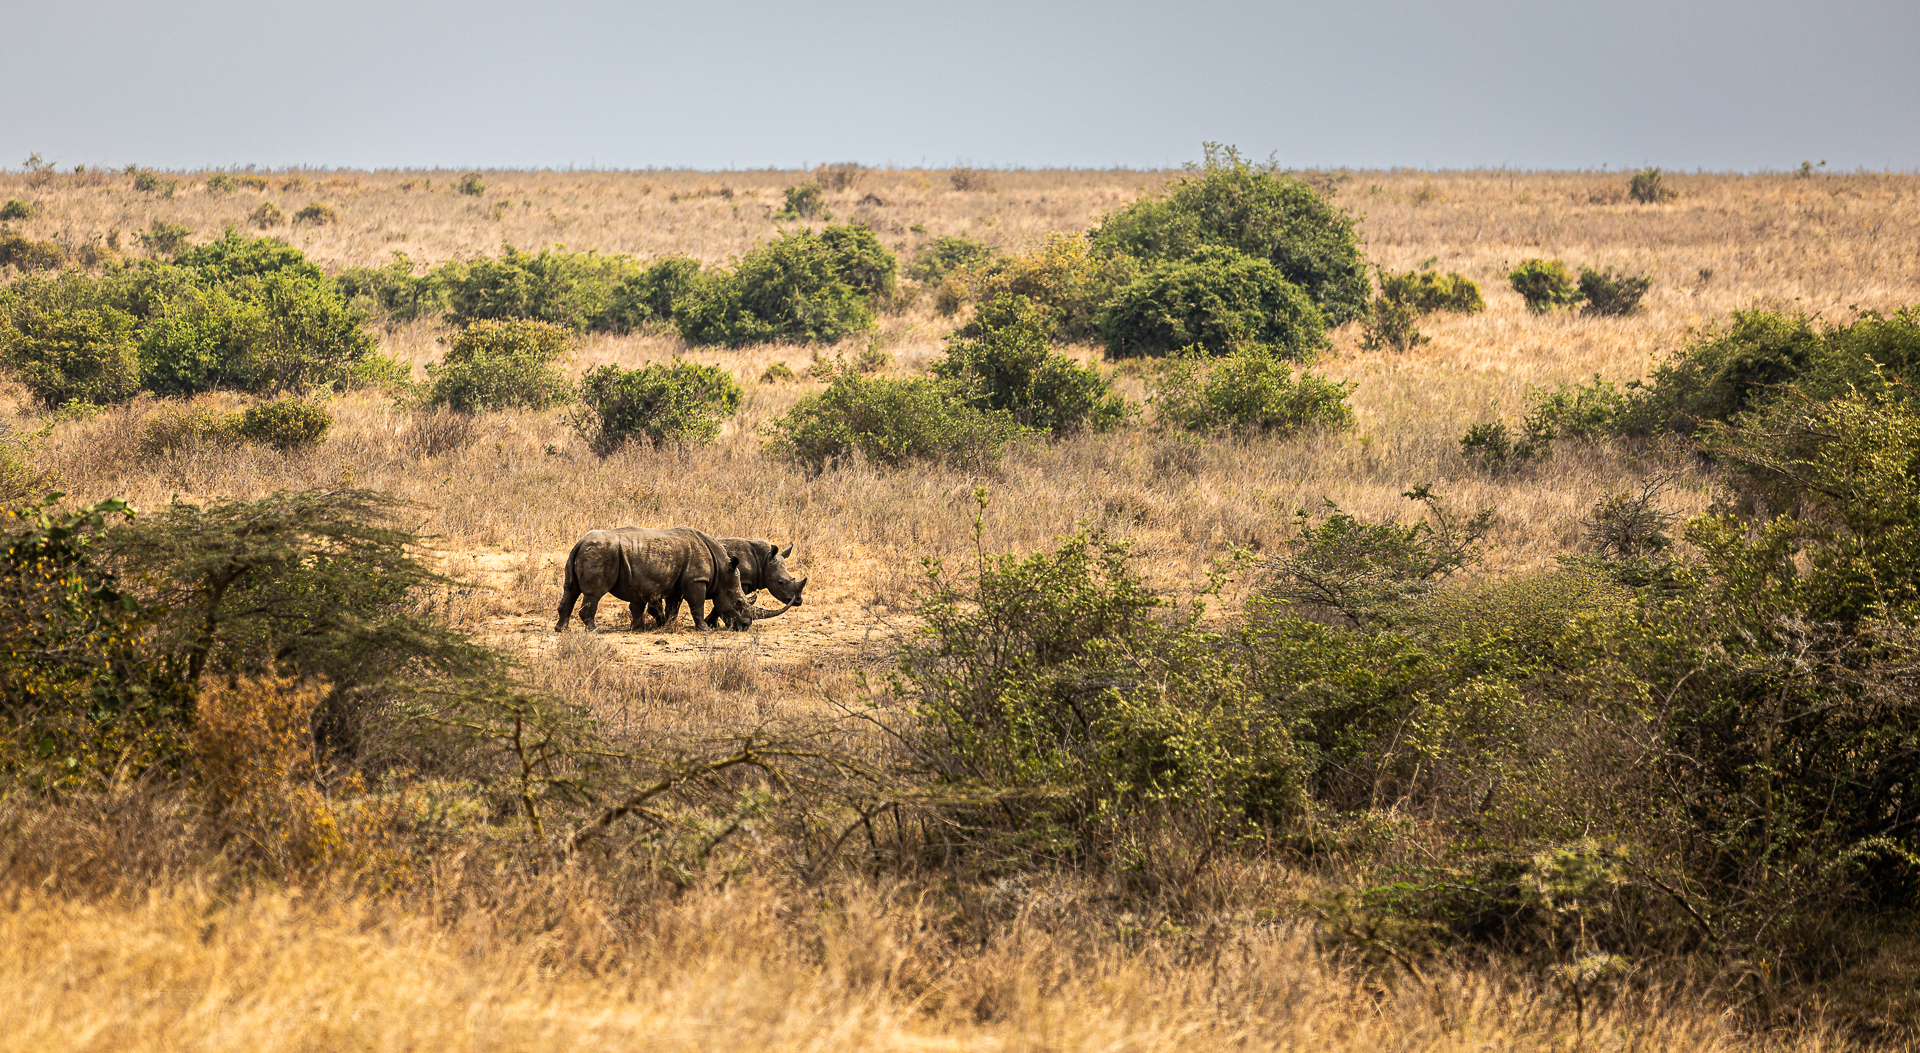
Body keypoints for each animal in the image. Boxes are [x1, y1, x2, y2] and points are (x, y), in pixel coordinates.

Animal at [554, 526, 766, 633]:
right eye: (738, 602)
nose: (745, 626)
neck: (722, 570)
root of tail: (580, 542)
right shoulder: (697, 580)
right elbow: (696, 606)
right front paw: (705, 630)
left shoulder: (680, 582)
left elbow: (674, 607)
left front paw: (666, 626)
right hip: (600, 553)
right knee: (594, 594)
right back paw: (594, 630)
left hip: (585, 552)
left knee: (571, 590)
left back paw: (561, 630)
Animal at [646, 538, 808, 630]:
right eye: (780, 582)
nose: (798, 601)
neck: (763, 560)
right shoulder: (739, 581)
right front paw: (711, 623)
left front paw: (713, 623)